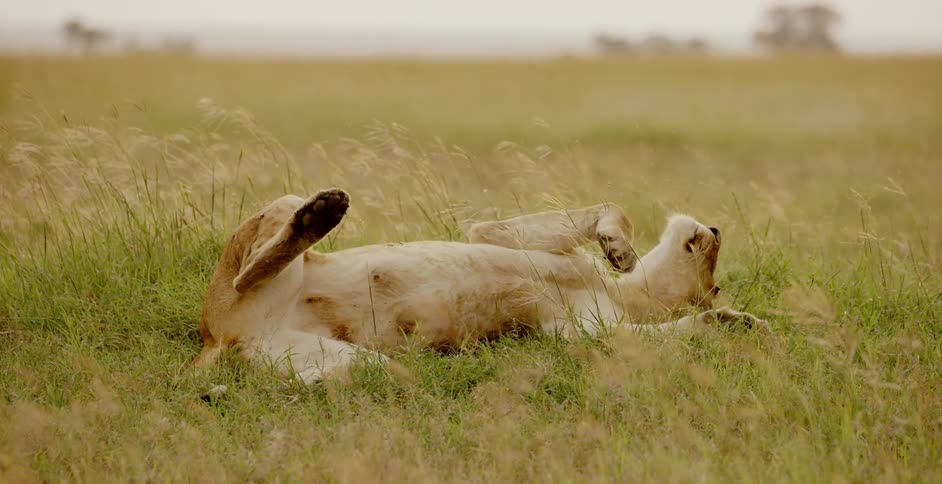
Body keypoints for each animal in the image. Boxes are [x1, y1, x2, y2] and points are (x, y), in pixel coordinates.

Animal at [193, 188, 766, 385]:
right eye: (715, 278)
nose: (716, 232)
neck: (624, 295)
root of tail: (216, 337)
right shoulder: (494, 235)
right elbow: (608, 208)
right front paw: (617, 246)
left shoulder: (586, 333)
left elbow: (635, 338)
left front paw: (734, 322)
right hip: (272, 223)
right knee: (256, 263)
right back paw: (322, 212)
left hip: (315, 354)